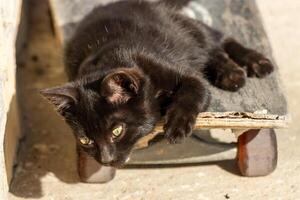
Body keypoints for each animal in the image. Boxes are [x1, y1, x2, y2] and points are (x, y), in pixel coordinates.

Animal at [41, 0, 274, 167]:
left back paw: (246, 67)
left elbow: (194, 89)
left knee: (219, 41)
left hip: (188, 30)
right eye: (85, 140)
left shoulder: (186, 74)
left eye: (117, 131)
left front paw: (177, 126)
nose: (105, 160)